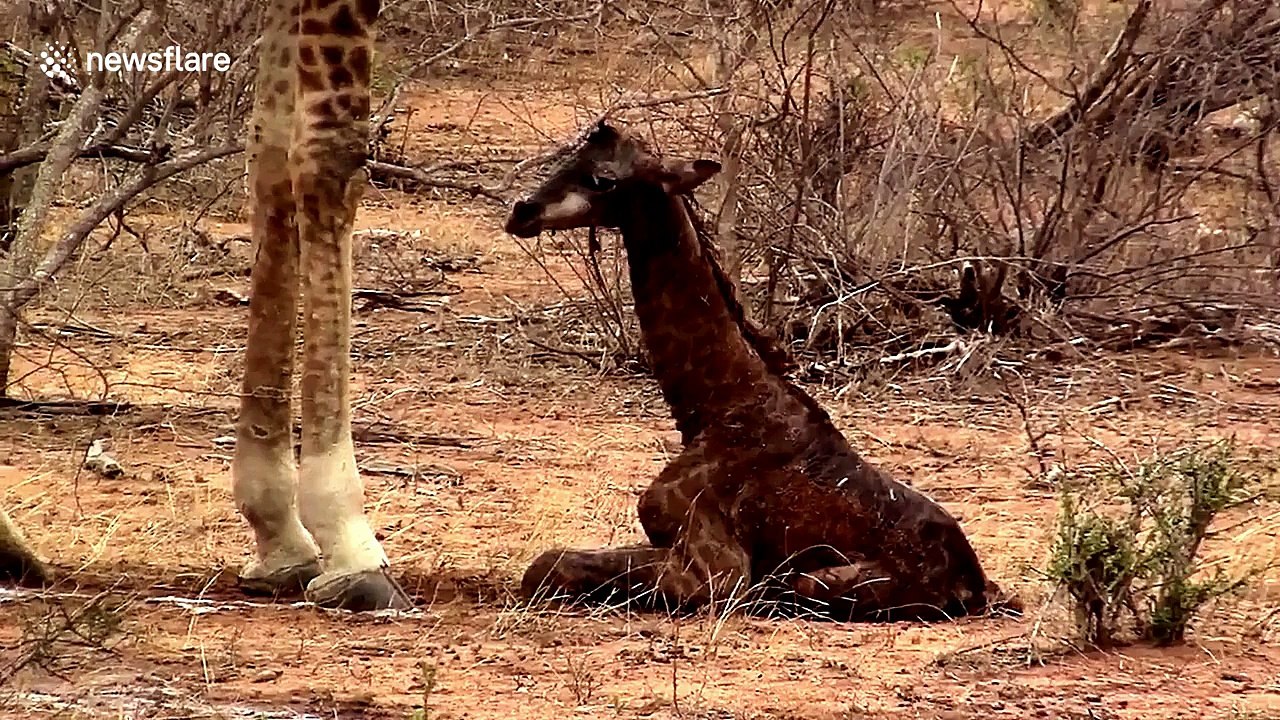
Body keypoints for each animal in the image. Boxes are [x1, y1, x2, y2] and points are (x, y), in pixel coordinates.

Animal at [504, 121, 1015, 621]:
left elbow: (548, 565)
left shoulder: (717, 572)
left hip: (816, 580)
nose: (521, 212)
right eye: (569, 158)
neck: (713, 406)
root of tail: (975, 586)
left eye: (603, 180)